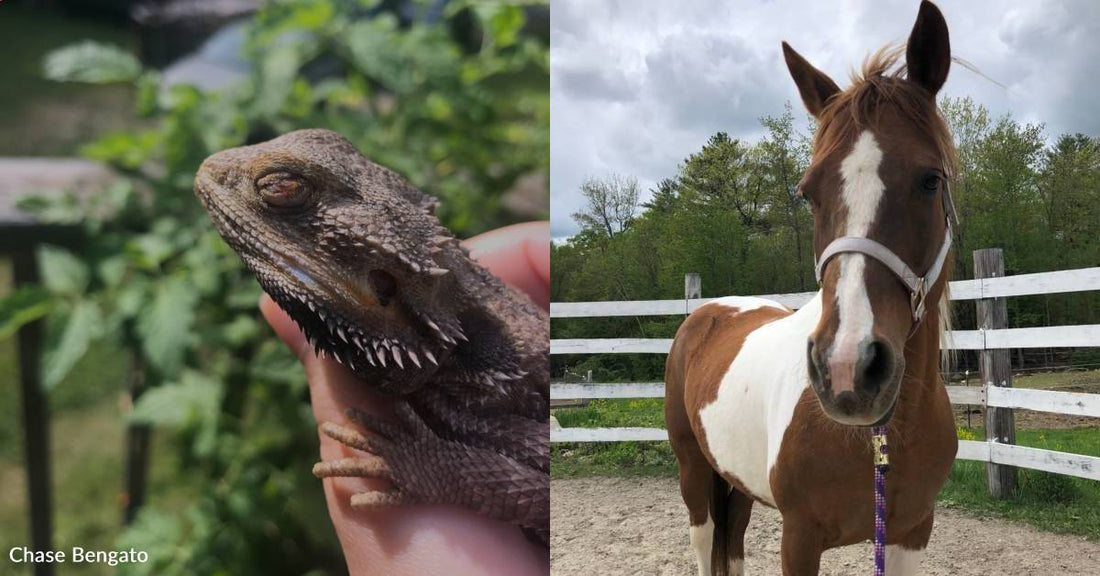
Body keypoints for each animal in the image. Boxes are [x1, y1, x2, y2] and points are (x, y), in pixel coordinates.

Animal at [660, 2, 963, 571]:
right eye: (807, 191)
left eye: (930, 180)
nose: (847, 368)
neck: (880, 439)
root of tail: (707, 312)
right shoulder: (799, 537)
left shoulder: (913, 532)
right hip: (693, 472)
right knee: (704, 545)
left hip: (737, 484)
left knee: (733, 544)